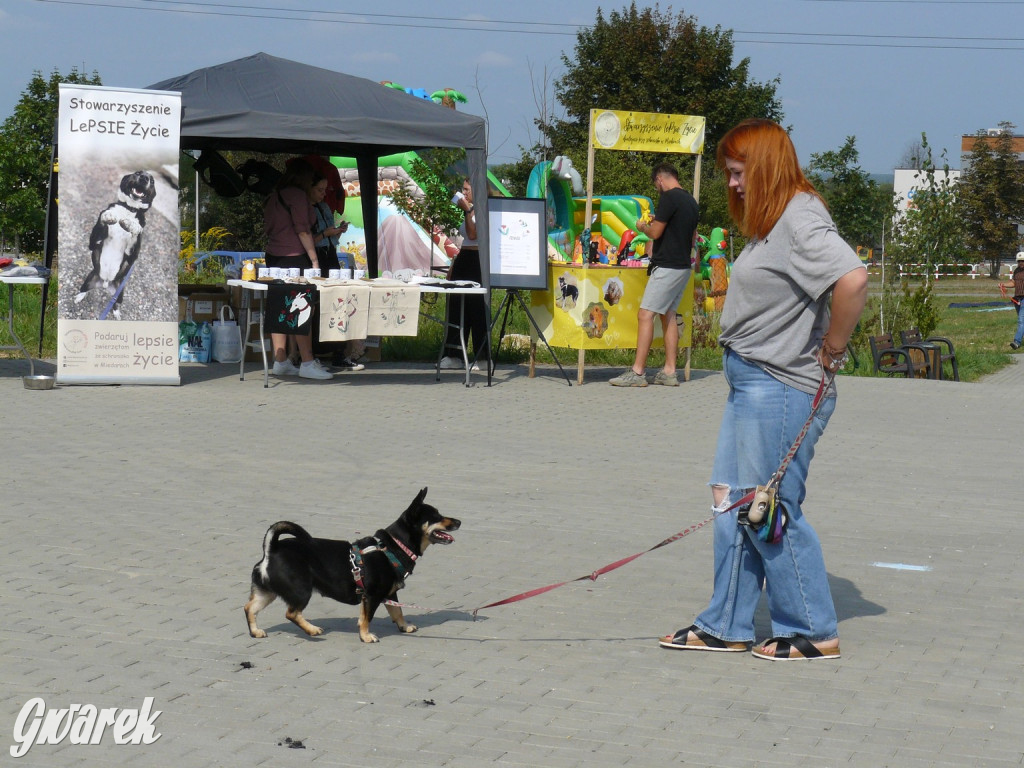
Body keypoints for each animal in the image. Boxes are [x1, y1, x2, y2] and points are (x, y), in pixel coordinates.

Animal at [243, 487, 460, 643]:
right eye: (437, 517)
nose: (458, 521)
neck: (394, 546)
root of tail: (272, 549)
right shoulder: (372, 596)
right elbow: (366, 618)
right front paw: (366, 636)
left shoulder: (389, 594)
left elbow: (397, 611)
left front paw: (404, 626)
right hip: (301, 590)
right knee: (291, 612)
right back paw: (312, 630)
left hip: (267, 592)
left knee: (249, 608)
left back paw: (256, 632)